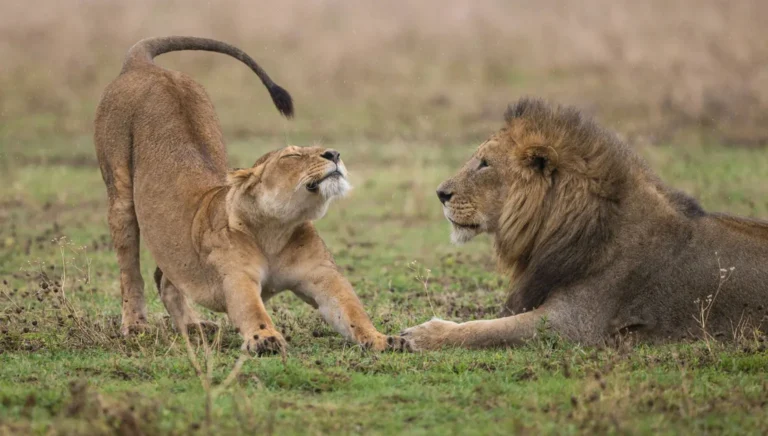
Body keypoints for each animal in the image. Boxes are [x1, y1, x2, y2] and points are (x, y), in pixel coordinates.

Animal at [95, 36, 407, 354]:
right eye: (292, 155)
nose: (334, 153)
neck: (276, 231)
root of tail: (144, 65)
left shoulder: (323, 276)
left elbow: (352, 311)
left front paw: (383, 338)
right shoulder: (236, 277)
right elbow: (251, 309)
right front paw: (265, 338)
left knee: (166, 278)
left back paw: (194, 326)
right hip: (120, 194)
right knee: (130, 271)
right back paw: (136, 326)